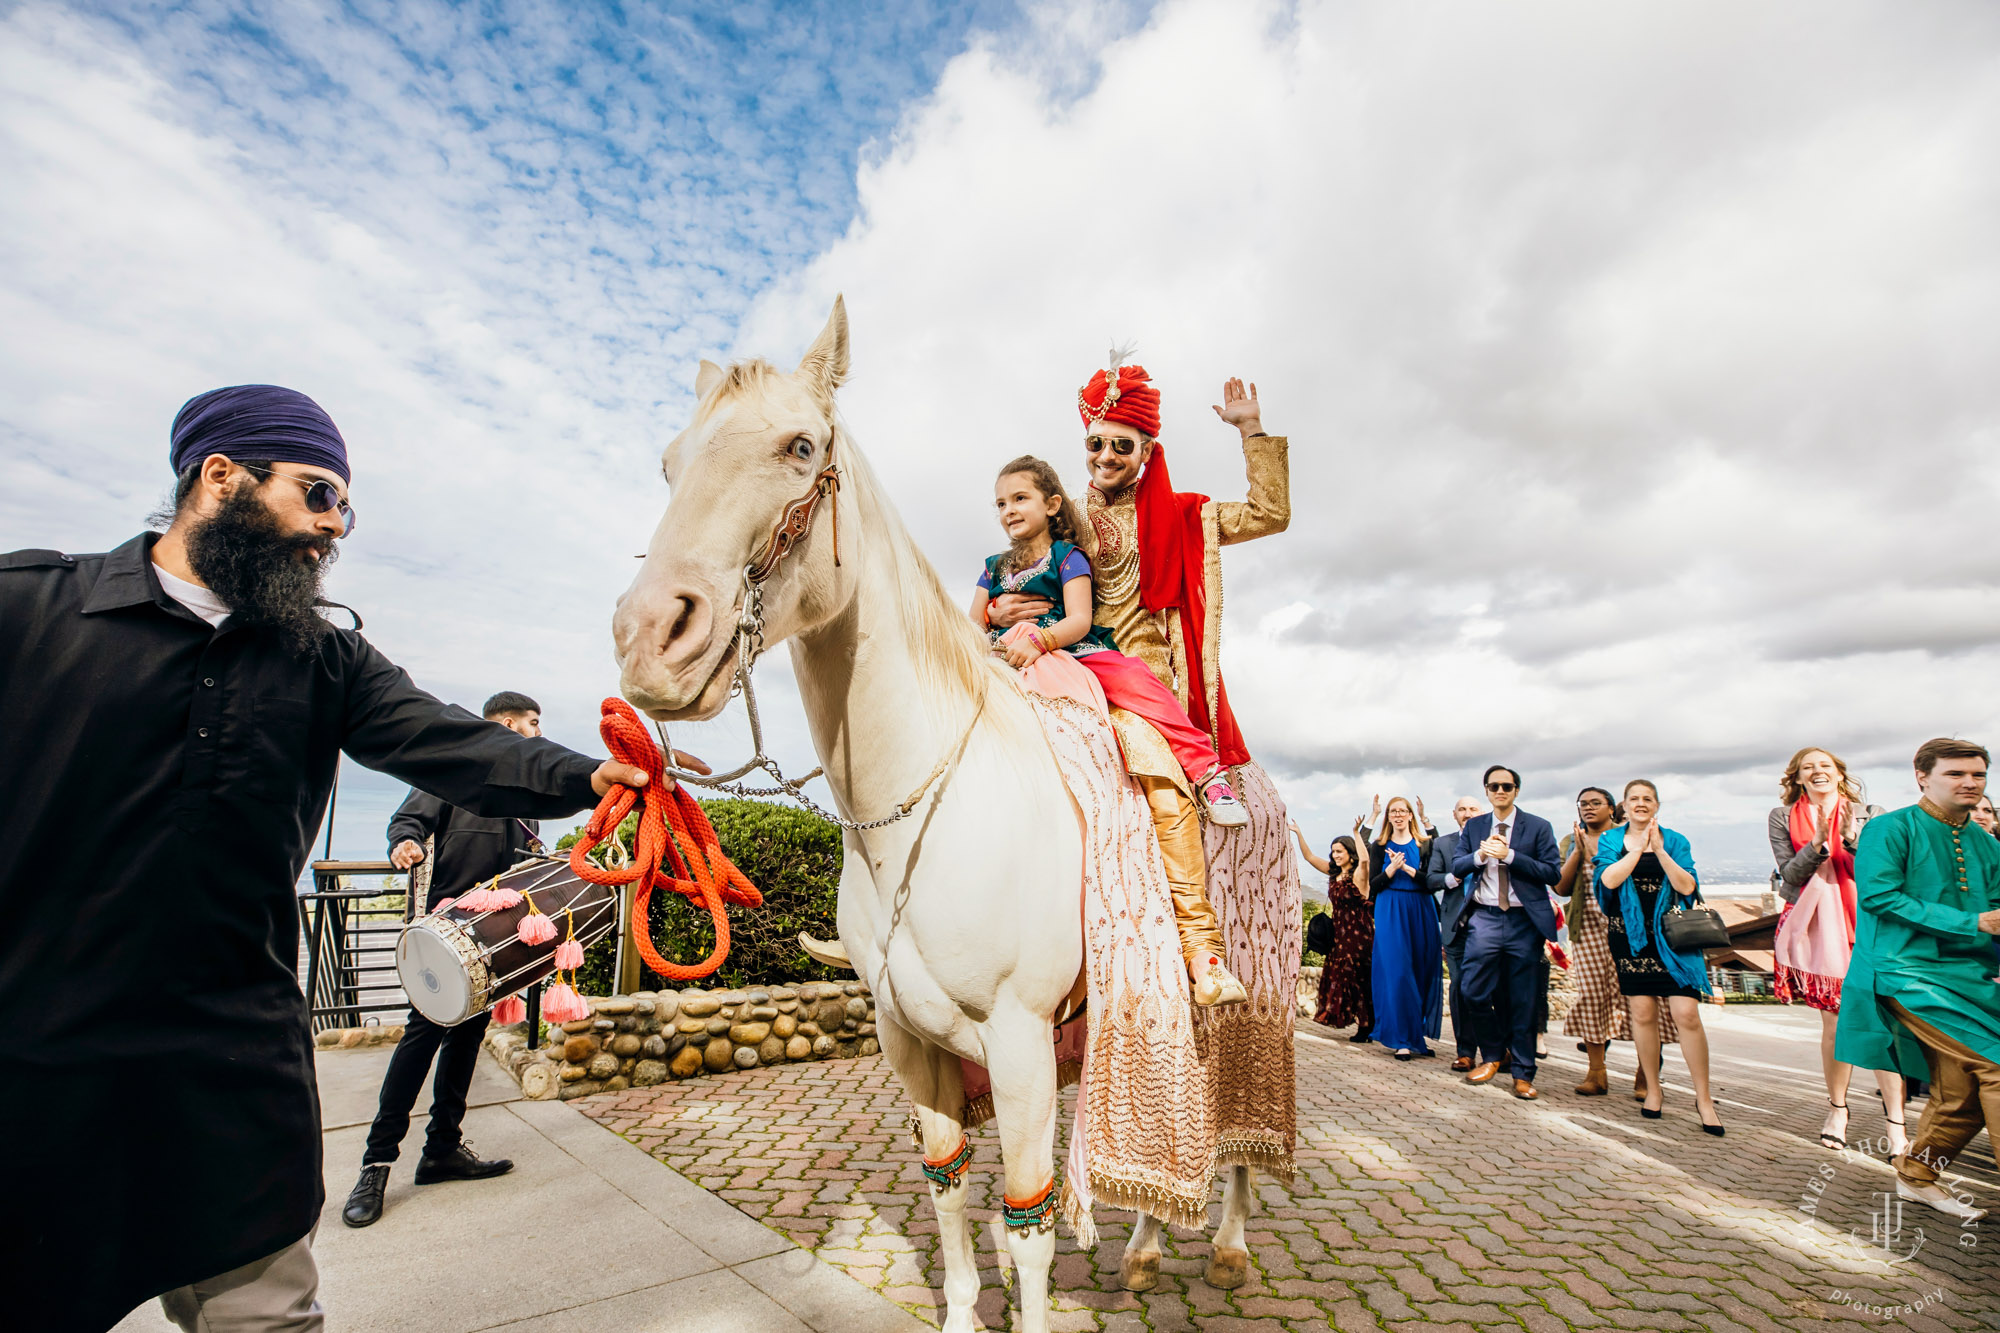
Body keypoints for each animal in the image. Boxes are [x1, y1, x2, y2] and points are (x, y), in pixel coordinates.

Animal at [616, 296, 1248, 1320]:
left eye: (800, 445)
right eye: (671, 461)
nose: (649, 636)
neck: (921, 816)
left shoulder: (1023, 1047)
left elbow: (1028, 1228)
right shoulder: (908, 1042)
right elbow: (949, 1190)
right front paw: (957, 1309)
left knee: (1237, 1141)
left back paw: (1227, 1242)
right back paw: (1148, 1250)